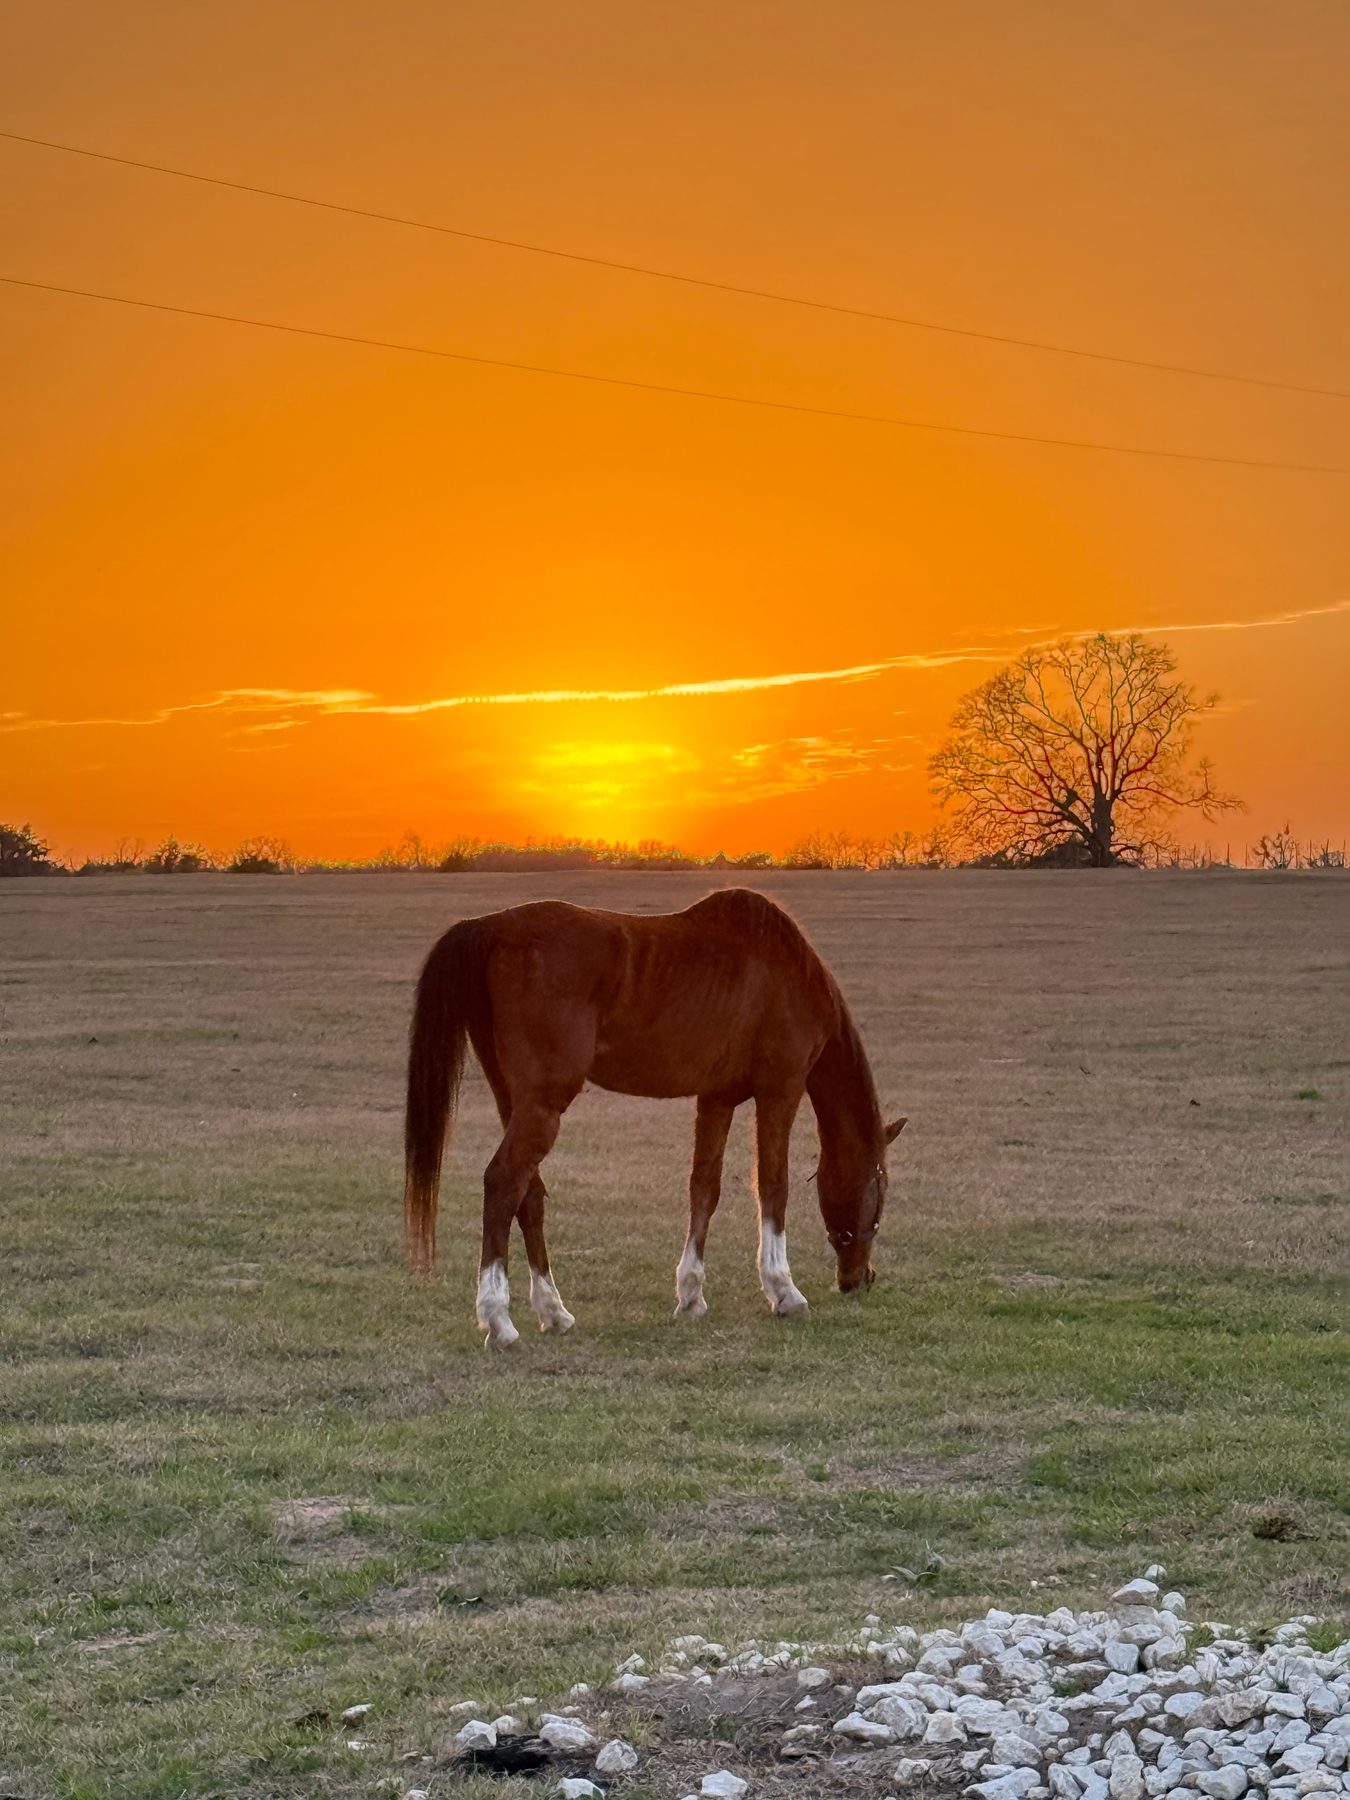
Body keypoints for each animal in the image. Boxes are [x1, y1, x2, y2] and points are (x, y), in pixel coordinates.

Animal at [402, 887, 905, 1347]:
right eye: (879, 1191)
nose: (859, 1279)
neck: (788, 971)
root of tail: (490, 926)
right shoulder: (780, 1088)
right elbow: (772, 1186)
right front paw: (784, 1290)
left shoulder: (717, 1097)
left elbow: (705, 1187)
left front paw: (691, 1296)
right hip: (542, 1106)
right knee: (503, 1182)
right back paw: (499, 1320)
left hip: (514, 1101)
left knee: (529, 1193)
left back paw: (553, 1311)